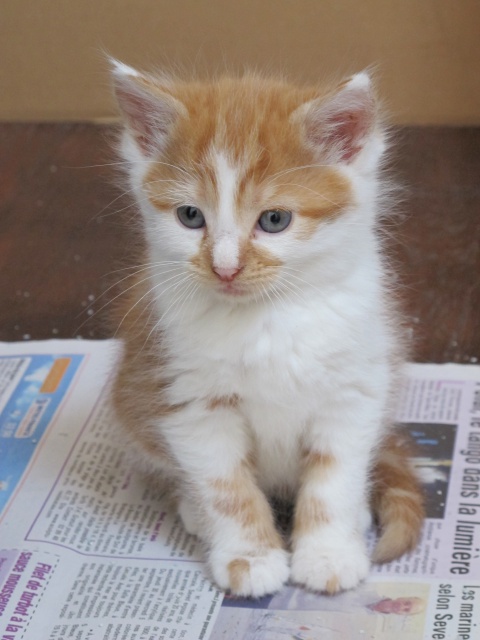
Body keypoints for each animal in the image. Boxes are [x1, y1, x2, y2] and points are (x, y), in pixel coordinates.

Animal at [109, 62, 424, 596]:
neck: (267, 316)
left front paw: (328, 553)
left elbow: (334, 478)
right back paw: (194, 511)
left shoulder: (354, 388)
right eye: (190, 216)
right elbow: (226, 485)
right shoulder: (190, 399)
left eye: (275, 220)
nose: (225, 267)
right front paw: (249, 557)